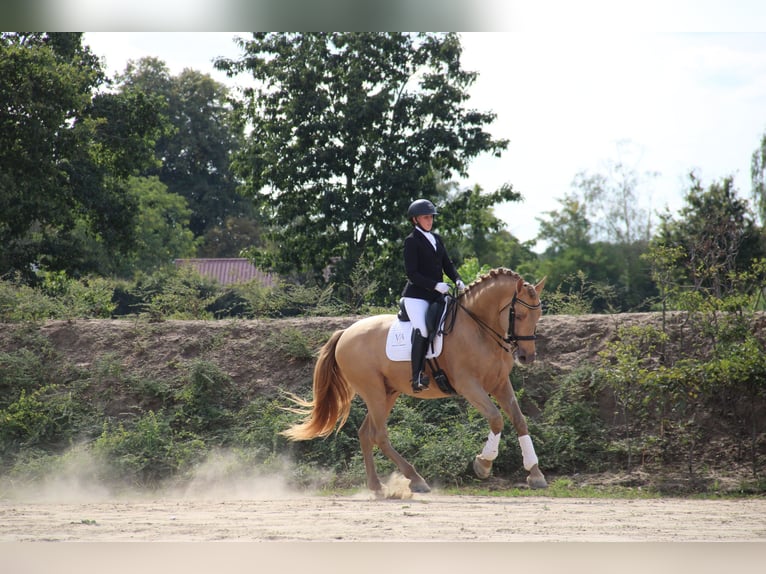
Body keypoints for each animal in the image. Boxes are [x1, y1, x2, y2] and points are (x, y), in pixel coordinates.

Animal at [282, 268, 547, 495]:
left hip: (388, 393)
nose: (527, 357)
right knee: (379, 434)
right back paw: (416, 479)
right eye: (519, 314)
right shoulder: (469, 385)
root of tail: (345, 332)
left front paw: (535, 474)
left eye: (538, 315)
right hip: (373, 391)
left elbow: (519, 420)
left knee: (366, 433)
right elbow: (496, 418)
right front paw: (483, 464)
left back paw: (377, 486)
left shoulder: (499, 383)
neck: (480, 329)